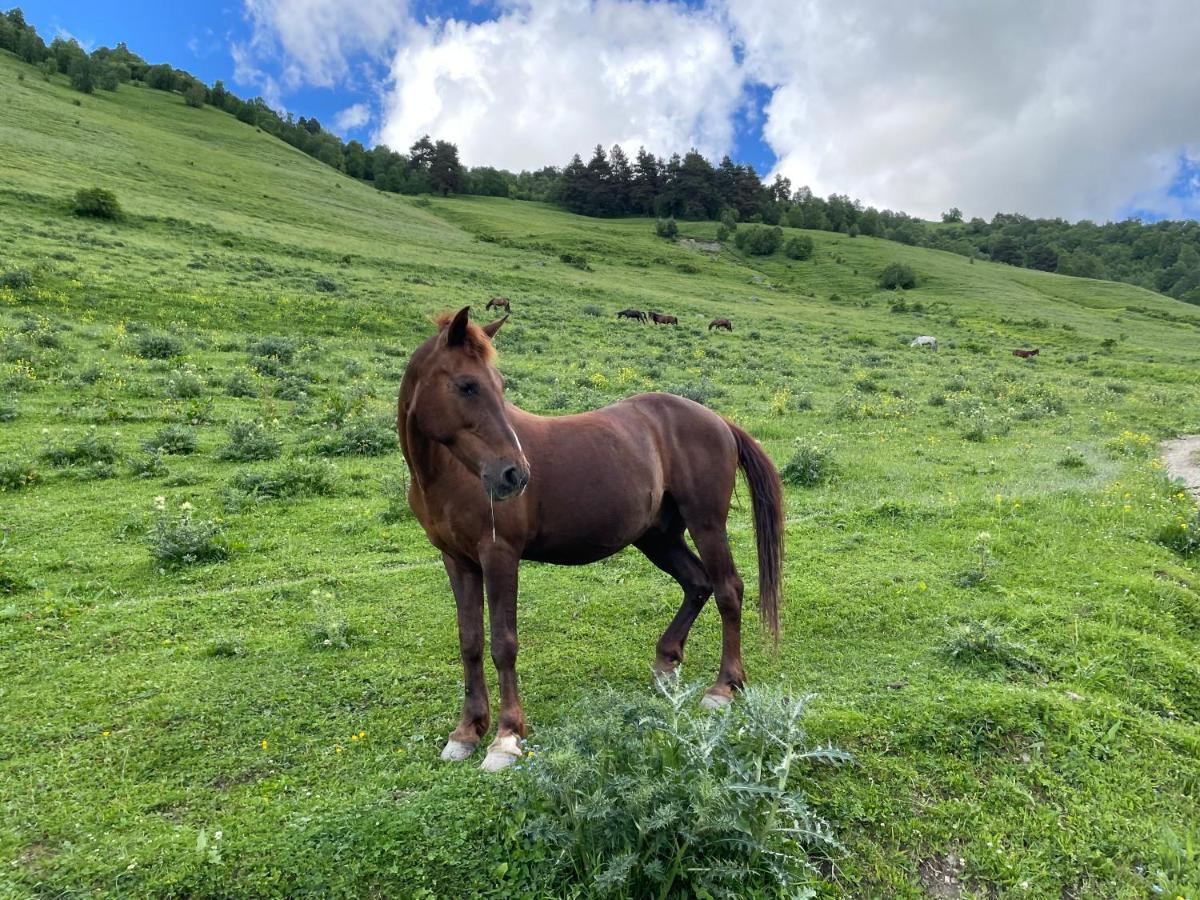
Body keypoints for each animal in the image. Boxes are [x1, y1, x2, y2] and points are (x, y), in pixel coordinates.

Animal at [398, 312, 782, 777]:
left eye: (500, 385)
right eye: (467, 385)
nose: (514, 474)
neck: (450, 473)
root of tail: (719, 421)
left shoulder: (499, 556)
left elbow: (503, 644)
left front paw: (506, 737)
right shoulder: (457, 560)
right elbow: (470, 642)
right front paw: (467, 731)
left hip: (706, 525)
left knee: (728, 590)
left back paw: (724, 686)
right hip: (658, 537)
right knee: (697, 583)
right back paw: (665, 663)